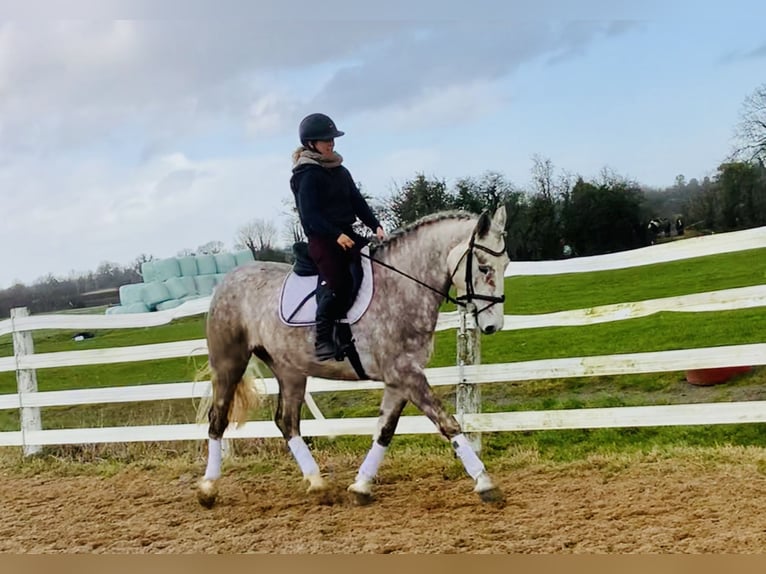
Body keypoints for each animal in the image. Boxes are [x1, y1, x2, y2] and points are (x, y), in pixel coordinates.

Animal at [198, 207, 510, 508]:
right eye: (483, 266)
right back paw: (208, 489)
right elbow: (447, 422)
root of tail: (227, 280)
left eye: (506, 264)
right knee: (218, 418)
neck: (401, 286)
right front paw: (485, 483)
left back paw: (318, 484)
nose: (493, 326)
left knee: (287, 421)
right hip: (229, 362)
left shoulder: (400, 379)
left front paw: (361, 487)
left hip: (290, 371)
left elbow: (384, 431)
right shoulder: (406, 374)